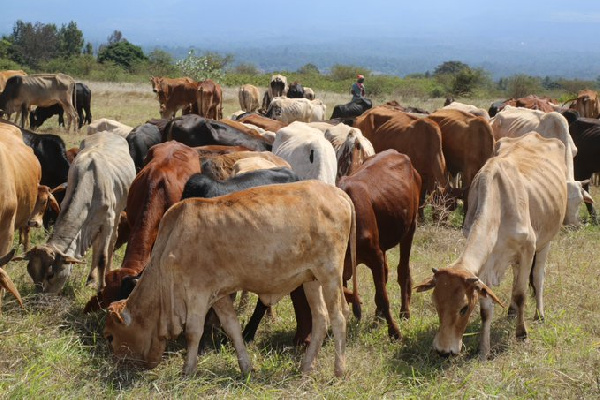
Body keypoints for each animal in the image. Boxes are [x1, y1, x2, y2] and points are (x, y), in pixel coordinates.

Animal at [16, 134, 136, 294]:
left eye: (51, 274)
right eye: (31, 272)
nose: (41, 298)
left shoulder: (107, 222)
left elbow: (102, 258)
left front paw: (102, 288)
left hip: (118, 211)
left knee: (111, 242)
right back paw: (91, 279)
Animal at [104, 181, 356, 378]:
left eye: (110, 336)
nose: (118, 366)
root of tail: (336, 192)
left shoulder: (197, 291)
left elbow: (193, 331)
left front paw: (188, 369)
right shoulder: (219, 295)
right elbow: (233, 328)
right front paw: (246, 367)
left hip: (330, 274)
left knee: (339, 316)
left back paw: (339, 369)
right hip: (311, 279)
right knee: (321, 318)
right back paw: (306, 366)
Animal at [414, 134, 568, 360]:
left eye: (463, 308)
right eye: (435, 303)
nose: (443, 351)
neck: (499, 206)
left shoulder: (528, 249)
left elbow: (521, 294)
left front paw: (521, 334)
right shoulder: (486, 265)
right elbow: (486, 309)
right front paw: (483, 350)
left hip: (546, 241)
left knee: (538, 276)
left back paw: (539, 313)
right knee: (516, 275)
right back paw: (511, 310)